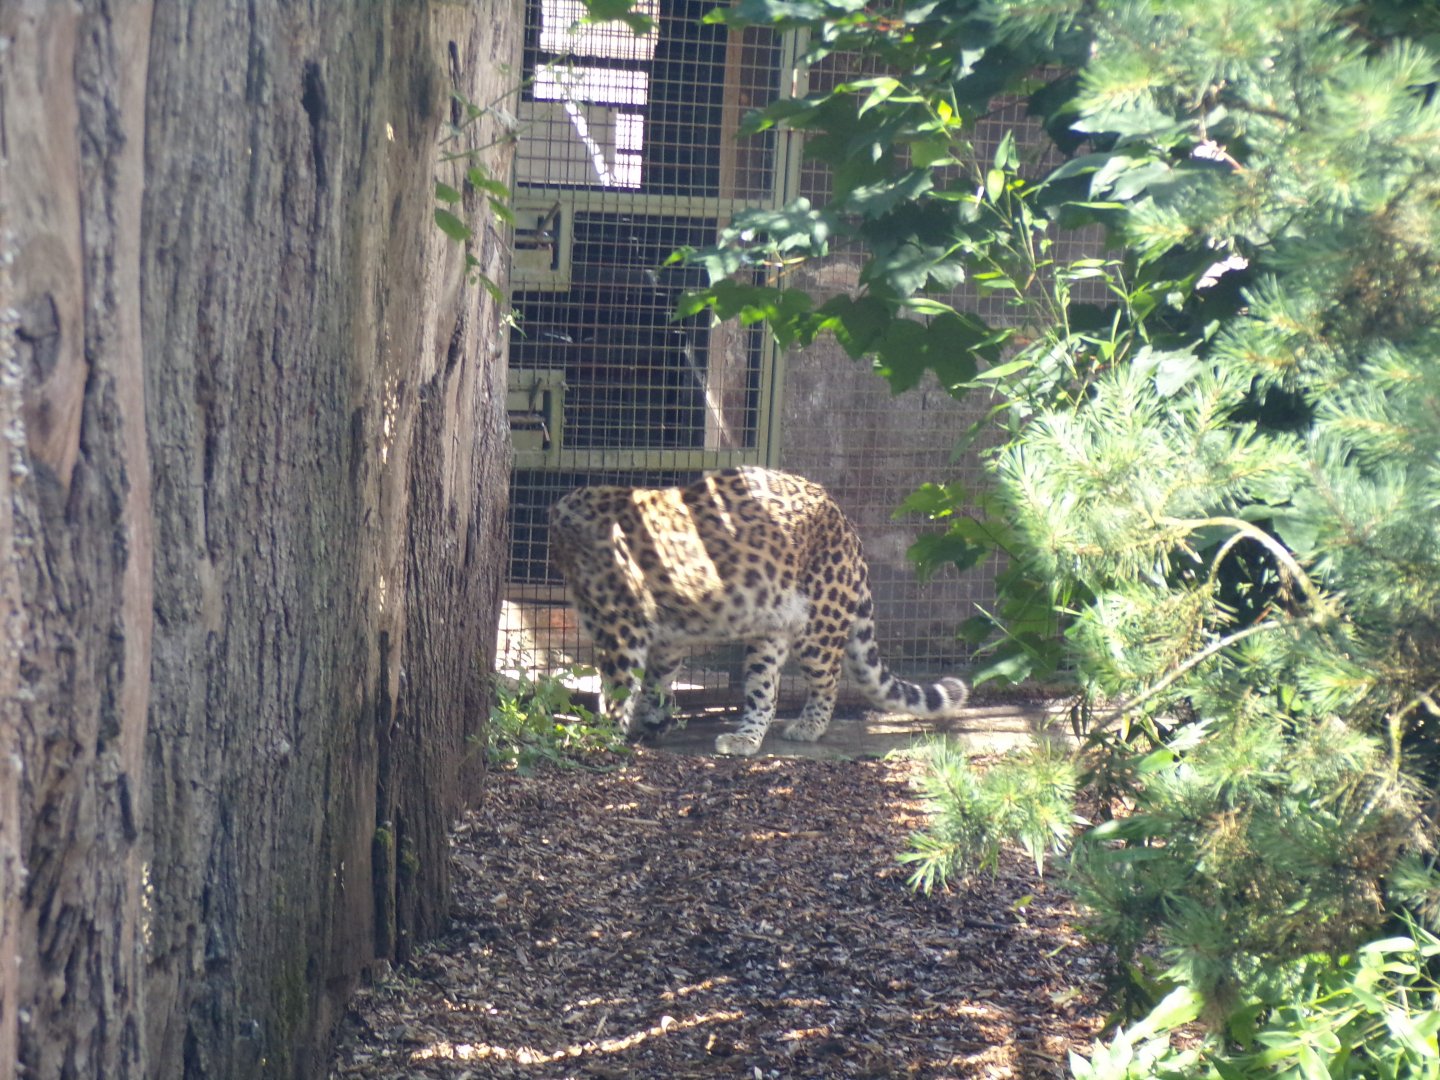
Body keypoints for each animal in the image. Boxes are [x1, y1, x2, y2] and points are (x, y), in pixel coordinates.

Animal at [549, 466, 970, 756]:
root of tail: (845, 522)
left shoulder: (622, 629)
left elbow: (620, 685)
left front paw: (601, 734)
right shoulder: (667, 637)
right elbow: (657, 681)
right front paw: (654, 721)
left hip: (819, 623)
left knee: (829, 679)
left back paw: (808, 727)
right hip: (771, 632)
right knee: (764, 691)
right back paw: (744, 739)